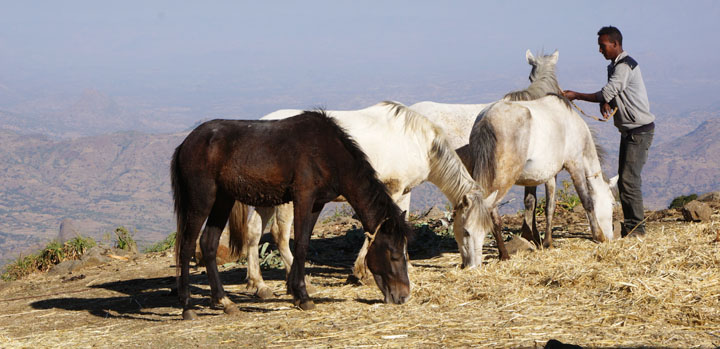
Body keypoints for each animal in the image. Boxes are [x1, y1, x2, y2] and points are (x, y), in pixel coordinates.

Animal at [171, 110, 414, 320]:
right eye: (393, 254)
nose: (403, 296)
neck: (327, 152)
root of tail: (186, 143)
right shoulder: (303, 198)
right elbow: (300, 244)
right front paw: (303, 296)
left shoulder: (317, 204)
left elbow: (303, 242)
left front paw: (297, 294)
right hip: (202, 200)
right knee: (187, 246)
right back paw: (188, 307)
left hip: (223, 200)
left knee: (208, 244)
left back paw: (224, 302)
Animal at [228, 100, 498, 296]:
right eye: (466, 232)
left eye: (486, 232)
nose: (474, 267)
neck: (416, 141)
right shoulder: (393, 190)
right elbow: (376, 230)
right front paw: (360, 272)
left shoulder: (405, 191)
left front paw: (406, 264)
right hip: (284, 201)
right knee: (280, 235)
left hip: (266, 198)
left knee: (253, 232)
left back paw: (258, 284)